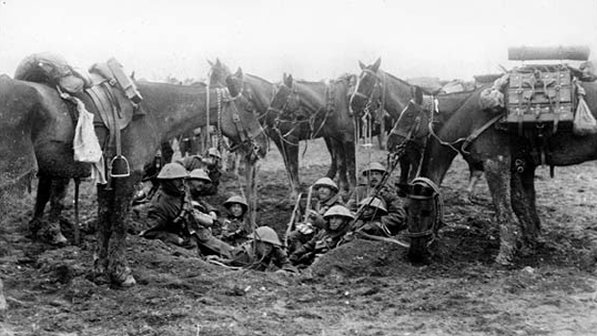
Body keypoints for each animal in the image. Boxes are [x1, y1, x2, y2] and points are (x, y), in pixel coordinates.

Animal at [8, 68, 266, 286]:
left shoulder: (107, 178)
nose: (261, 147)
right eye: (249, 108)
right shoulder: (130, 176)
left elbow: (105, 220)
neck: (151, 111)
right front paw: (122, 273)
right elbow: (120, 222)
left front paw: (99, 271)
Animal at [388, 80, 596, 266]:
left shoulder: (496, 163)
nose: (415, 255)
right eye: (407, 211)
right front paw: (530, 244)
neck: (472, 117)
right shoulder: (517, 166)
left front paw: (505, 254)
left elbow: (502, 207)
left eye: (409, 115)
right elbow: (520, 203)